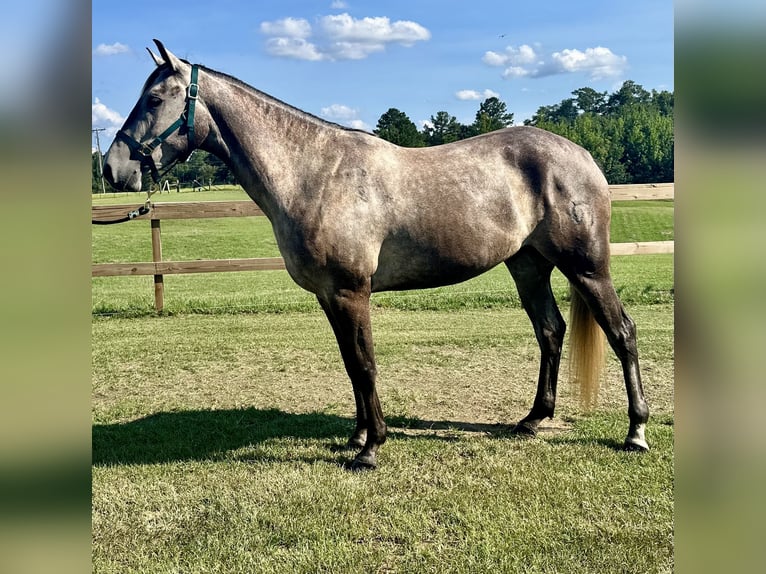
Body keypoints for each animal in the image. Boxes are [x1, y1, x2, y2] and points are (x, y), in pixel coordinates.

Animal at [103, 40, 649, 470]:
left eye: (154, 98)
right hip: (529, 265)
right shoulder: (330, 296)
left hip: (586, 267)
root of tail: (581, 156)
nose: (113, 168)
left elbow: (365, 364)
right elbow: (351, 364)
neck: (314, 174)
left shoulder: (351, 291)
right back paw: (534, 418)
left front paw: (370, 449)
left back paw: (635, 431)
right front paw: (358, 436)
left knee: (622, 332)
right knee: (550, 331)